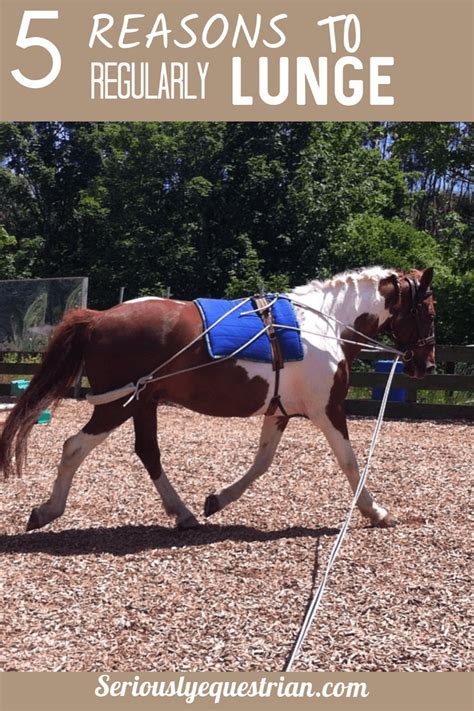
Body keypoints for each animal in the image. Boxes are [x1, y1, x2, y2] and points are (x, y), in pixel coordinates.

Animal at [0, 266, 436, 532]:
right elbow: (350, 461)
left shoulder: (281, 412)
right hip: (115, 405)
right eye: (429, 311)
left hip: (141, 403)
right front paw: (375, 511)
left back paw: (184, 513)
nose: (427, 365)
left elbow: (262, 463)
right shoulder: (326, 409)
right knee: (74, 447)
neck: (324, 324)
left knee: (148, 453)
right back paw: (47, 510)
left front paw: (218, 500)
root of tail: (99, 317)